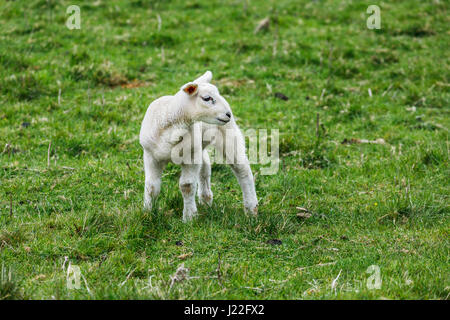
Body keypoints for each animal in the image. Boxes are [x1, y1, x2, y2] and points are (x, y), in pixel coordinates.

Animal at [139, 70, 258, 221]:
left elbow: (187, 186)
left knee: (243, 171)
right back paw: (206, 200)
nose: (228, 114)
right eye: (207, 98)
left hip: (229, 137)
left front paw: (189, 217)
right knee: (205, 167)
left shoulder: (190, 156)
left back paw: (251, 209)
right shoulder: (150, 156)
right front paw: (147, 213)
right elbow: (151, 187)